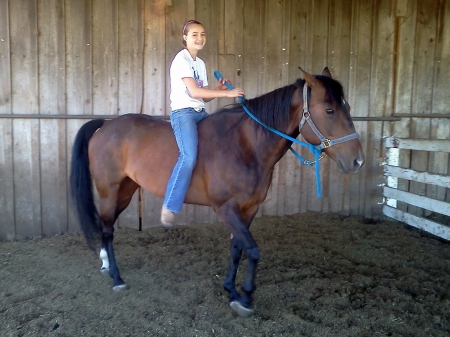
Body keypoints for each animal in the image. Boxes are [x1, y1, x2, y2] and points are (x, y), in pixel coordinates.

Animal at [70, 67, 366, 316]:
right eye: (329, 110)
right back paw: (116, 278)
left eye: (348, 107)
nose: (358, 162)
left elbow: (237, 249)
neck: (245, 145)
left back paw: (106, 264)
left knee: (106, 227)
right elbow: (253, 250)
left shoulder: (248, 209)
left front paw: (231, 290)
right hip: (109, 190)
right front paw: (245, 298)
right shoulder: (227, 208)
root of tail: (106, 125)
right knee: (107, 229)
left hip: (126, 190)